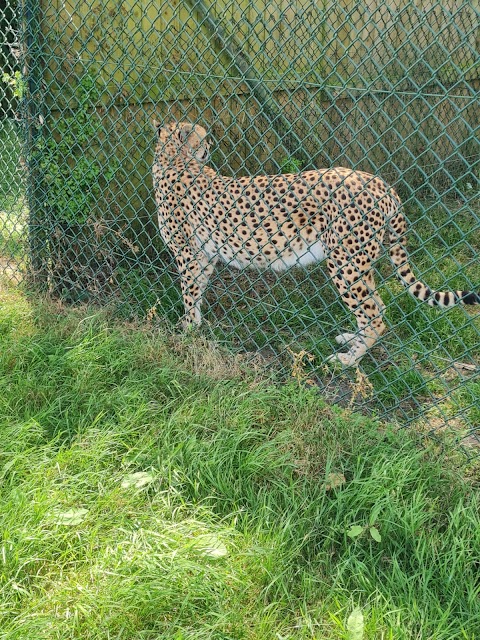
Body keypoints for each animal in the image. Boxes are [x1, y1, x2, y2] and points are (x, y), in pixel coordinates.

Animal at [152, 121, 478, 364]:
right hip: (360, 264)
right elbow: (197, 292)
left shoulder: (187, 254)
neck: (173, 160)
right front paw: (195, 325)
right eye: (203, 138)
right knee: (378, 306)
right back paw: (351, 340)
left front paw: (187, 330)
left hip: (344, 263)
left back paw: (348, 359)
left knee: (373, 315)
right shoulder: (203, 255)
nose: (210, 147)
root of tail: (379, 182)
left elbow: (189, 293)